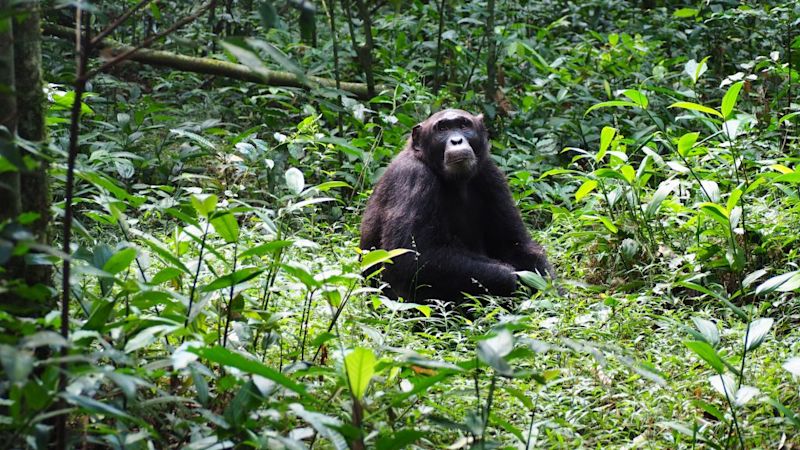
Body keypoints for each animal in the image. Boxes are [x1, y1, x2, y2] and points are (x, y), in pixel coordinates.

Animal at [360, 109, 552, 302]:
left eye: (463, 125)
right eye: (442, 129)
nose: (456, 140)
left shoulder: (492, 174)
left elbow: (515, 245)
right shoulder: (413, 177)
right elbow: (409, 257)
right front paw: (510, 277)